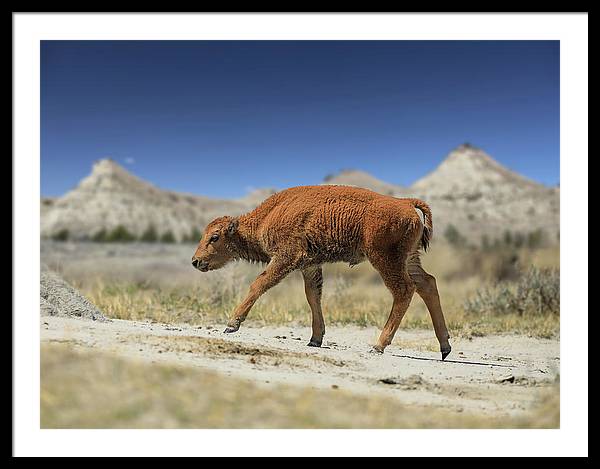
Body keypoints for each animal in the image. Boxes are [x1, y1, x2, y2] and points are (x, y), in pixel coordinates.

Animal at [192, 184, 450, 358]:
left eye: (214, 237)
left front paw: (232, 324)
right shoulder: (310, 265)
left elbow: (259, 283)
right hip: (409, 259)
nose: (195, 261)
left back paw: (378, 345)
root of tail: (406, 203)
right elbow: (313, 297)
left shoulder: (286, 258)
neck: (266, 217)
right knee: (427, 284)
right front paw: (315, 339)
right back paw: (445, 346)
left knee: (404, 290)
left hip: (385, 259)